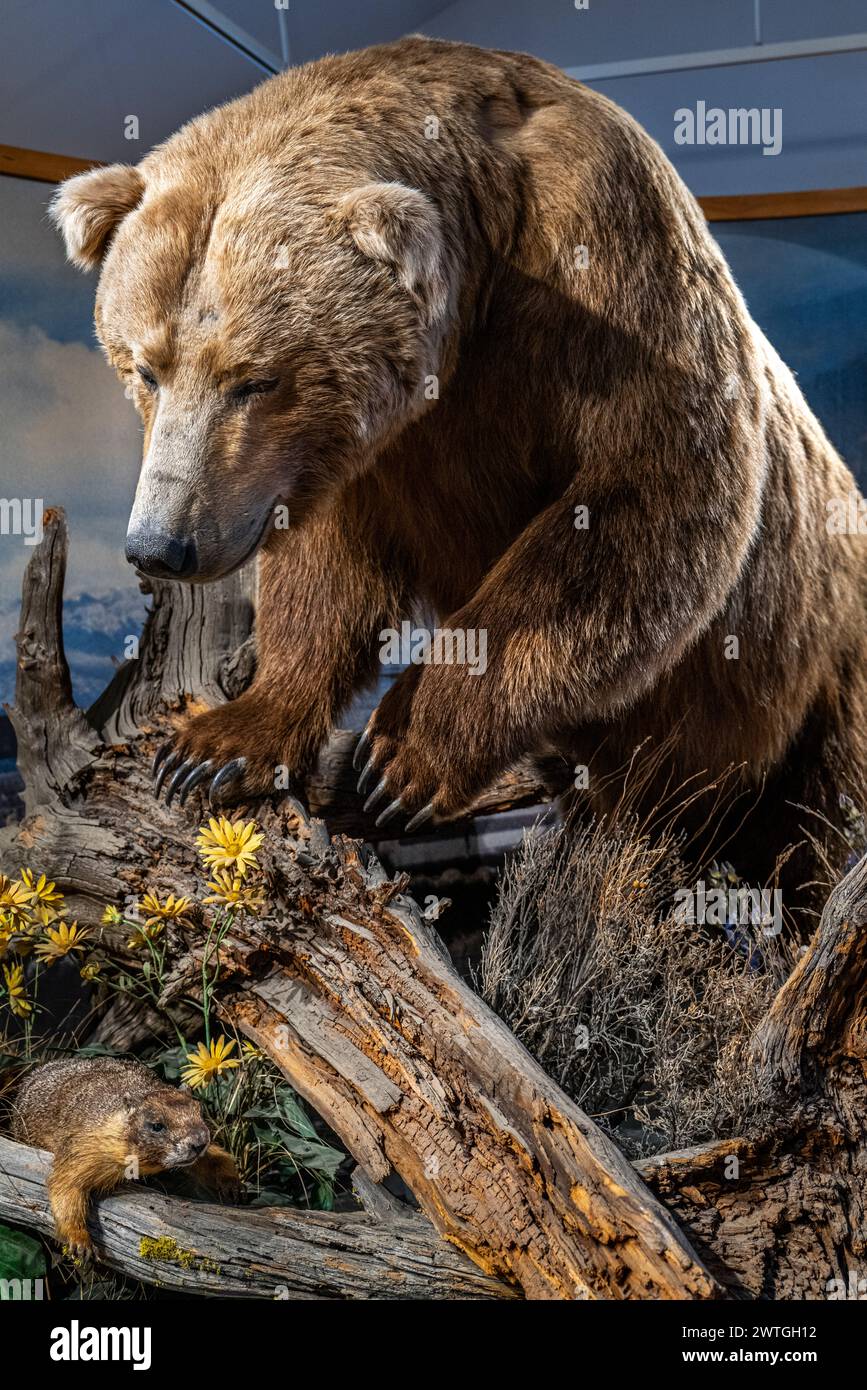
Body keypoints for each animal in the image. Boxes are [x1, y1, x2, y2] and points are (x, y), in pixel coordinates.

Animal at [52, 35, 867, 900]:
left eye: (254, 378)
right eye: (145, 367)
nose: (161, 544)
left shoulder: (605, 264)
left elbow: (639, 502)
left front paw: (402, 752)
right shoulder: (369, 448)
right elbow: (325, 573)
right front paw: (217, 746)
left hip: (822, 661)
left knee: (815, 821)